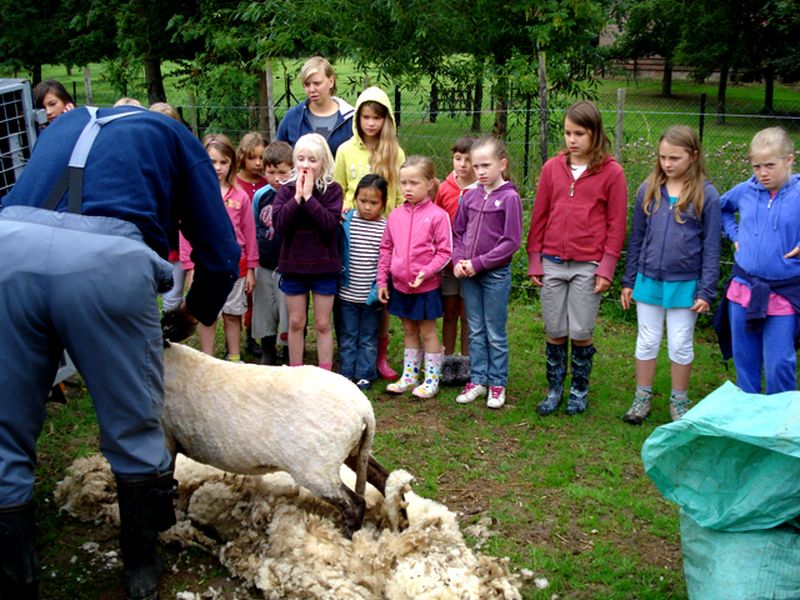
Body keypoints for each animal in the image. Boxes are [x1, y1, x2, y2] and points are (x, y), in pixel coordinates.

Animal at [160, 342, 384, 536]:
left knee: (355, 505)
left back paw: (346, 536)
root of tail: (364, 409)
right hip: (352, 450)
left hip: (317, 468)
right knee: (381, 476)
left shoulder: (167, 440)